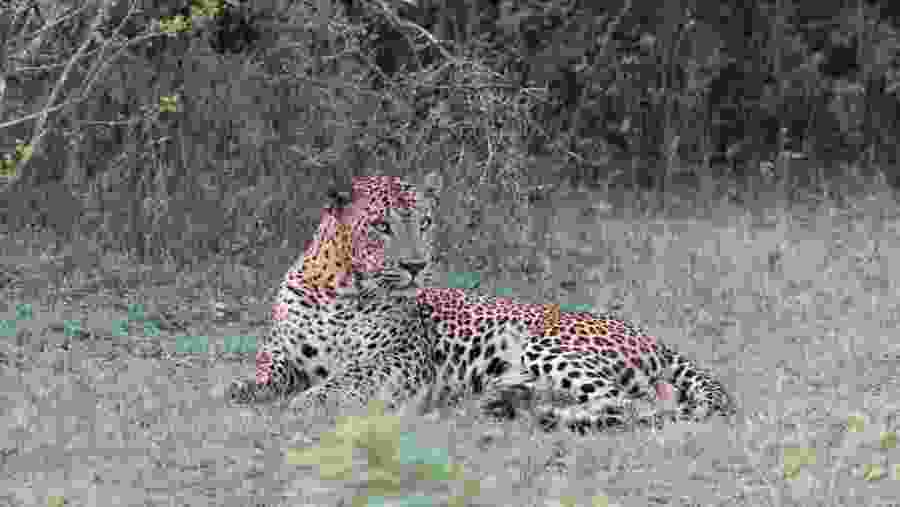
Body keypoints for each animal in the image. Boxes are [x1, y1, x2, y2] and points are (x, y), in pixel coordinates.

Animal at [226, 173, 736, 431]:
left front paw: (306, 403)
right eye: (382, 227)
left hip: (548, 344)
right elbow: (265, 374)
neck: (341, 288)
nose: (417, 265)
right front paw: (239, 389)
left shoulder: (398, 360)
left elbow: (346, 380)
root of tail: (651, 337)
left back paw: (551, 417)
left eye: (426, 222)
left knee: (636, 403)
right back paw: (501, 404)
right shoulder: (282, 353)